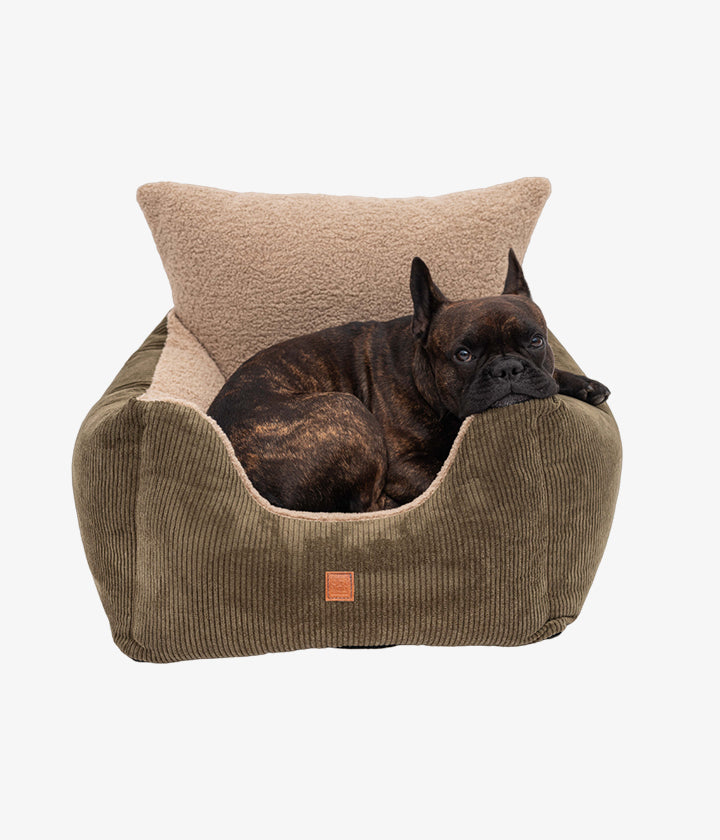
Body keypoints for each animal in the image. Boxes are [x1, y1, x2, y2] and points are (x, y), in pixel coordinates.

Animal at [208, 250, 610, 512]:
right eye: (463, 354)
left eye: (536, 341)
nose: (507, 369)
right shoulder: (402, 465)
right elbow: (434, 479)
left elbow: (551, 376)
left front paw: (584, 384)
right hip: (347, 409)